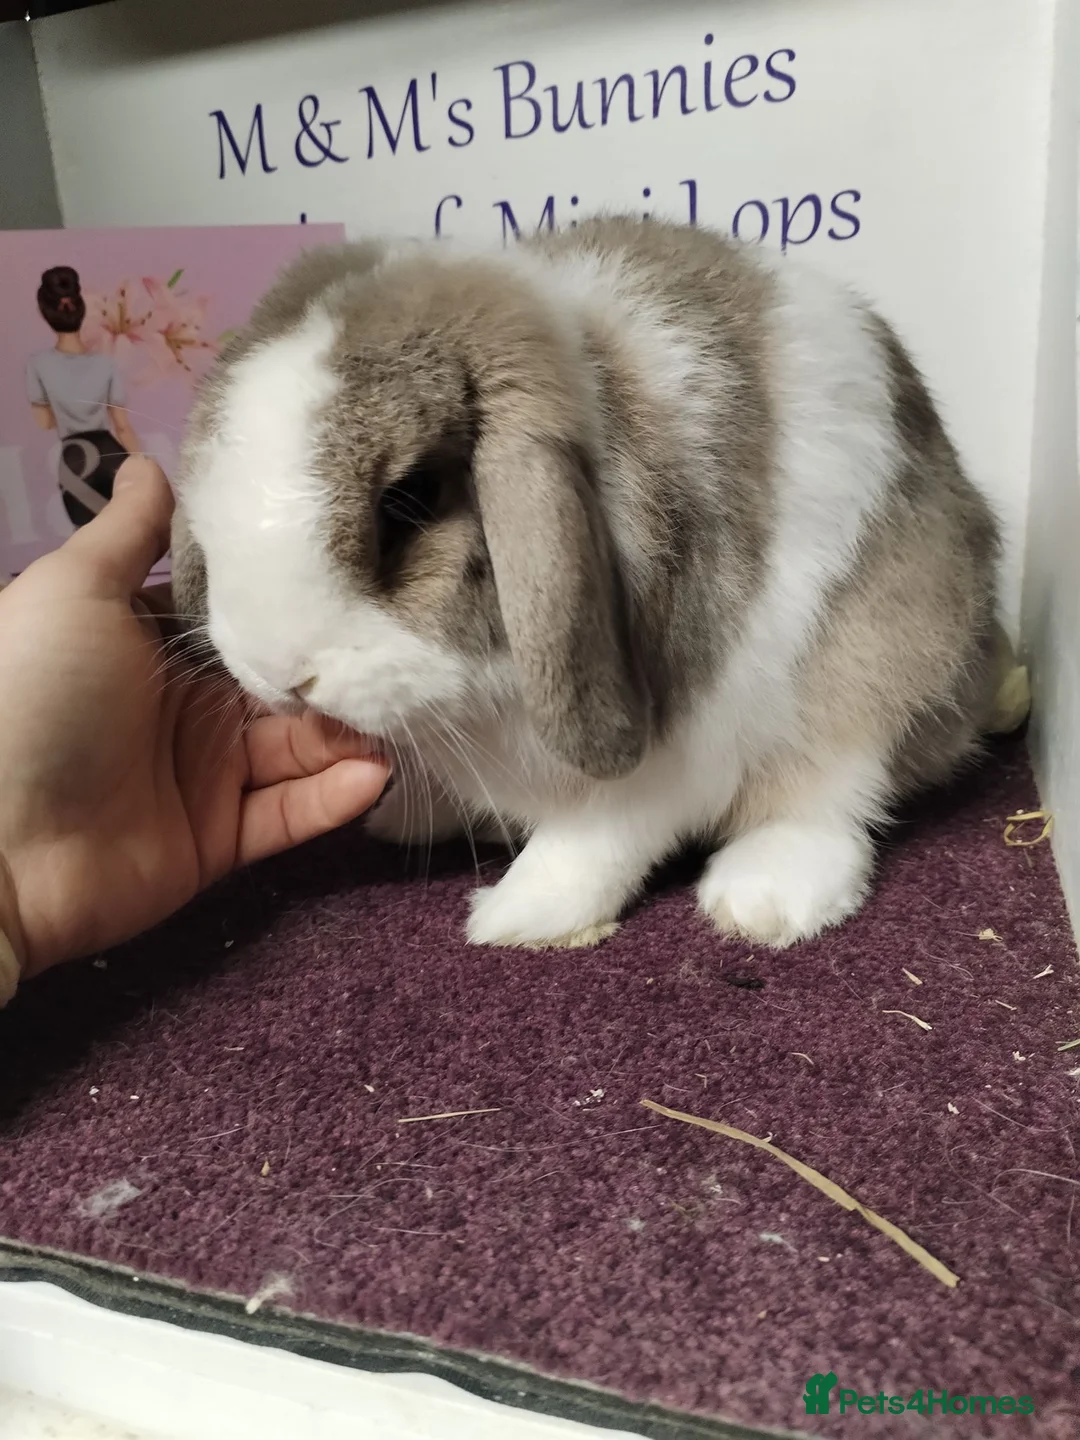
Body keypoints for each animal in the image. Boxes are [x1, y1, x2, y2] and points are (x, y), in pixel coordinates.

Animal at [171, 216, 1001, 950]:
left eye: (409, 500)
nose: (278, 672)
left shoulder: (677, 740)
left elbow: (600, 837)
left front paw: (518, 917)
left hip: (880, 657)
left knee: (832, 793)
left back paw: (762, 900)